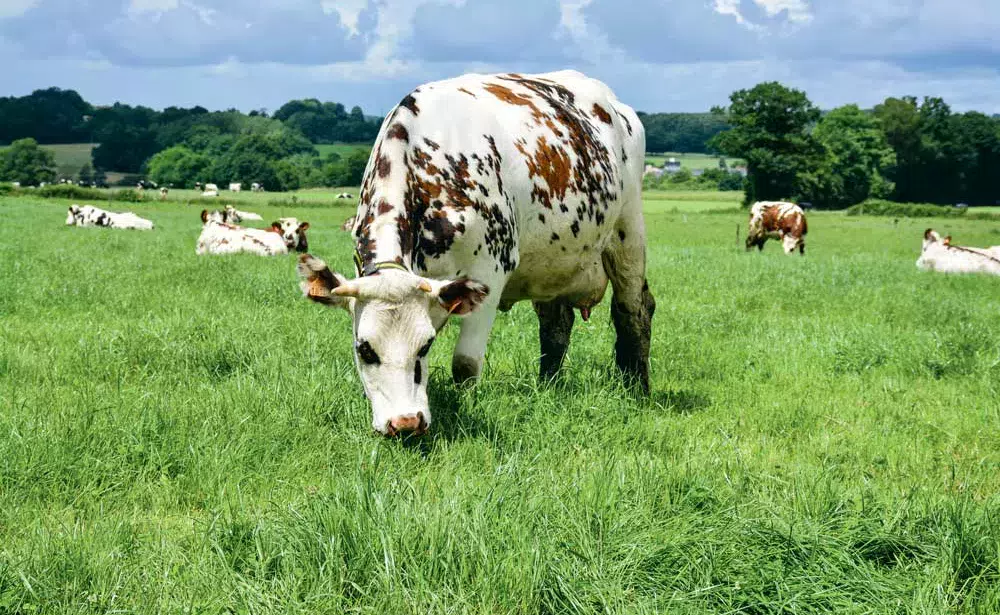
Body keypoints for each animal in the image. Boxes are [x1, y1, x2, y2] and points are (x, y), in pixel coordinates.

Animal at [294, 70, 656, 438]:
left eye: (425, 346)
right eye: (364, 349)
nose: (406, 423)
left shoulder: (490, 272)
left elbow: (465, 364)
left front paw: (466, 404)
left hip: (628, 231)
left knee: (633, 310)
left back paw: (637, 389)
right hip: (552, 260)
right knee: (556, 324)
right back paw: (548, 386)